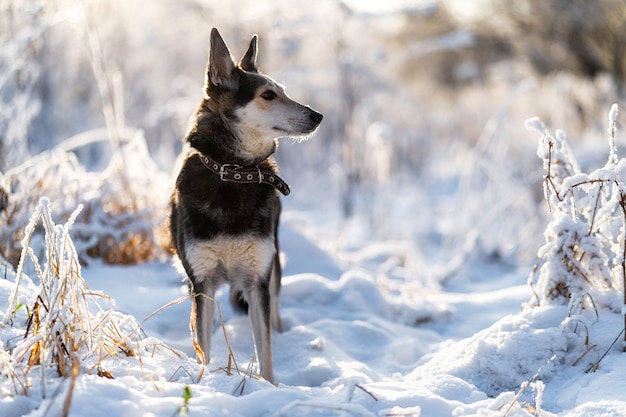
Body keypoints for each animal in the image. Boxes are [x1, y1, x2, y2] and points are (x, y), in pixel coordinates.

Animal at [168, 27, 322, 382]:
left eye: (283, 92)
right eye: (268, 95)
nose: (318, 116)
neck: (234, 172)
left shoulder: (257, 281)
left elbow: (264, 348)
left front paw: (270, 386)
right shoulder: (202, 282)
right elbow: (204, 344)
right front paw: (205, 379)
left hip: (273, 263)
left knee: (274, 311)